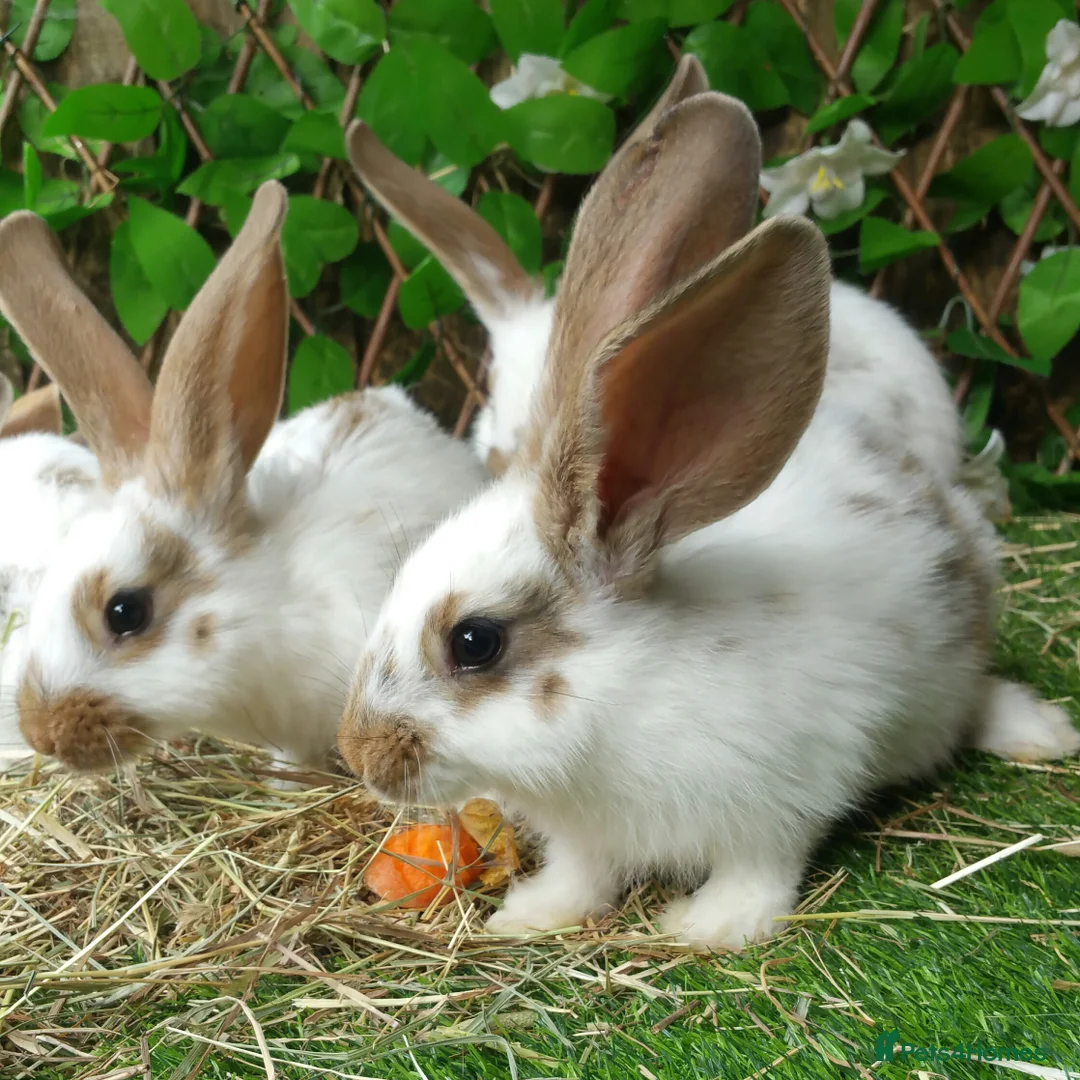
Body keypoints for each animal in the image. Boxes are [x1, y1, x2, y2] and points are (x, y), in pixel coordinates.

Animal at [336, 91, 1079, 951]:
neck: (618, 700)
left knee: (973, 703)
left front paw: (712, 926)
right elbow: (582, 875)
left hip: (946, 678)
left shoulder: (786, 792)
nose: (357, 753)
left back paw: (1044, 732)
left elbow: (760, 867)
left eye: (473, 641)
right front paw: (531, 915)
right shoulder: (587, 838)